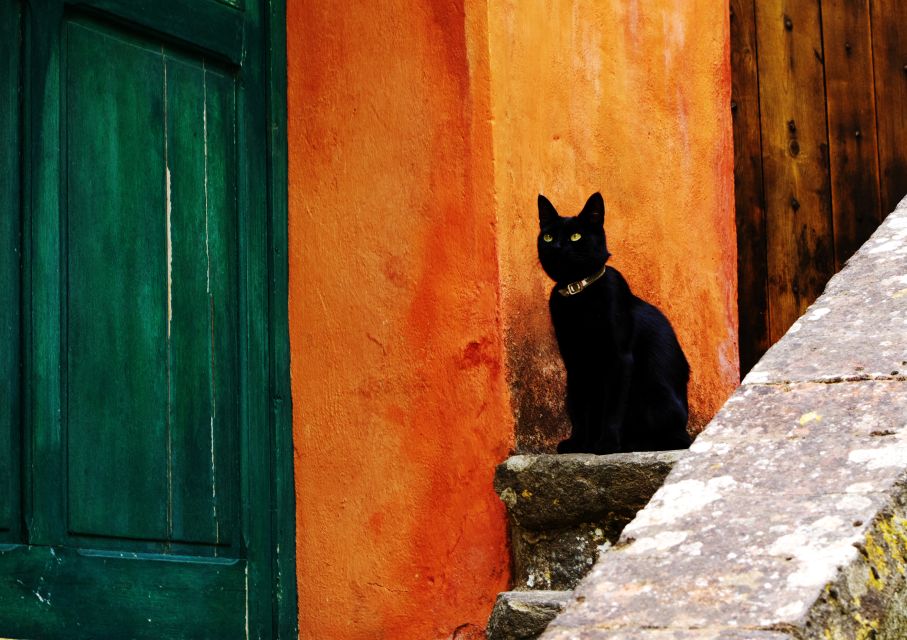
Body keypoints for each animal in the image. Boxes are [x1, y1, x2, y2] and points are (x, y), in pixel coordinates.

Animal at [536, 191, 692, 456]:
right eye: (548, 237)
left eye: (575, 236)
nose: (556, 247)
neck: (578, 293)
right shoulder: (575, 360)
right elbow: (581, 406)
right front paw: (579, 443)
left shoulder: (619, 358)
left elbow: (612, 407)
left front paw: (607, 444)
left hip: (653, 394)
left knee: (674, 438)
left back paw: (631, 444)